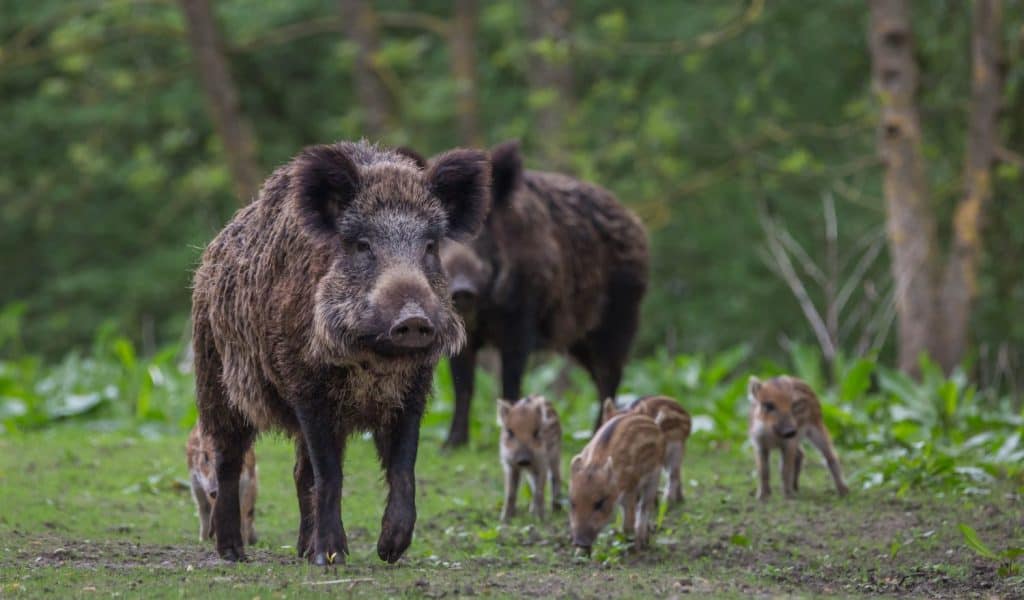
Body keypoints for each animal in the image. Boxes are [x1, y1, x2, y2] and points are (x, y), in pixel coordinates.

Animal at [191, 141, 490, 563]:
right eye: (363, 244)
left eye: (430, 245)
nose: (413, 318)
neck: (374, 361)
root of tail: (212, 252)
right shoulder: (306, 388)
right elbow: (330, 474)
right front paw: (332, 557)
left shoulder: (413, 391)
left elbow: (403, 468)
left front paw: (390, 550)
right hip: (215, 380)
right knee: (229, 461)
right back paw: (234, 553)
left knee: (300, 473)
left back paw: (303, 551)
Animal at [439, 141, 649, 446]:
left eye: (483, 230)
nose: (462, 288)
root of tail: (635, 222)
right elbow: (463, 386)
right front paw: (451, 446)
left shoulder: (521, 319)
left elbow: (510, 380)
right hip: (579, 341)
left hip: (618, 319)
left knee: (610, 376)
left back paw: (597, 433)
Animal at [569, 412, 665, 554]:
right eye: (572, 503)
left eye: (599, 503)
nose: (580, 542)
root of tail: (654, 423)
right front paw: (580, 553)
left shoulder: (630, 488)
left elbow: (629, 522)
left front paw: (631, 549)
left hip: (654, 477)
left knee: (644, 507)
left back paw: (642, 542)